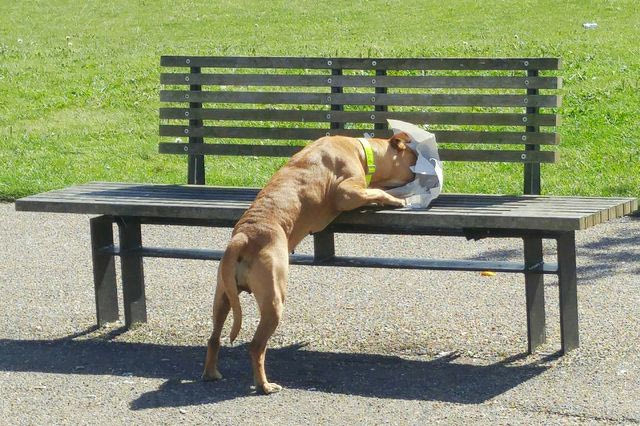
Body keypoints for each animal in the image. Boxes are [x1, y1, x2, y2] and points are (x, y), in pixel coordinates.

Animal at [202, 132, 418, 392]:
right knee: (256, 346)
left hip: (223, 295)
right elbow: (374, 190)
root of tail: (244, 236)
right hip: (274, 299)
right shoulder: (347, 193)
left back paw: (211, 373)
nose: (418, 170)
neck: (361, 149)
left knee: (214, 337)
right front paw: (396, 199)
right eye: (413, 156)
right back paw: (264, 385)